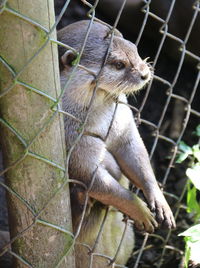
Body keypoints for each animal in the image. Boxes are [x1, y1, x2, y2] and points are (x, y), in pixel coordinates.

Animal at [57, 19, 175, 266]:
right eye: (119, 64)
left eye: (135, 49)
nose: (144, 73)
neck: (99, 120)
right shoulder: (73, 138)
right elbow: (93, 177)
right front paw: (140, 209)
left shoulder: (123, 122)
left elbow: (136, 154)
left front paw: (159, 201)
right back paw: (80, 202)